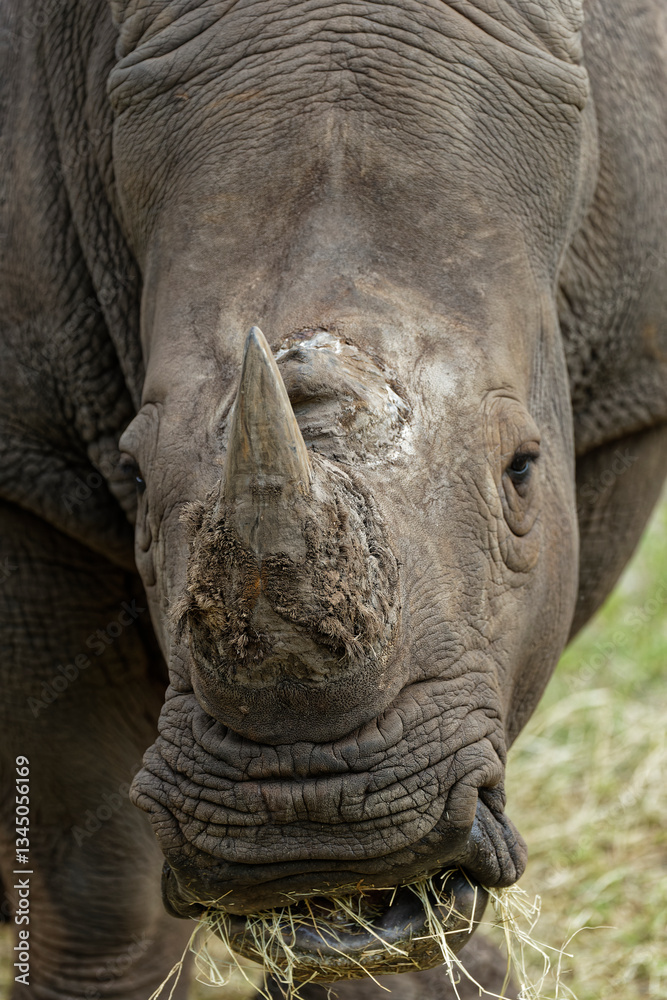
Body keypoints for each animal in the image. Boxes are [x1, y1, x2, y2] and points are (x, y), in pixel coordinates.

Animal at [1, 0, 666, 997]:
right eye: (138, 472)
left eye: (522, 470)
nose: (311, 831)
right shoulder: (26, 464)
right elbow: (92, 859)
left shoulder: (626, 400)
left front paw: (397, 950)